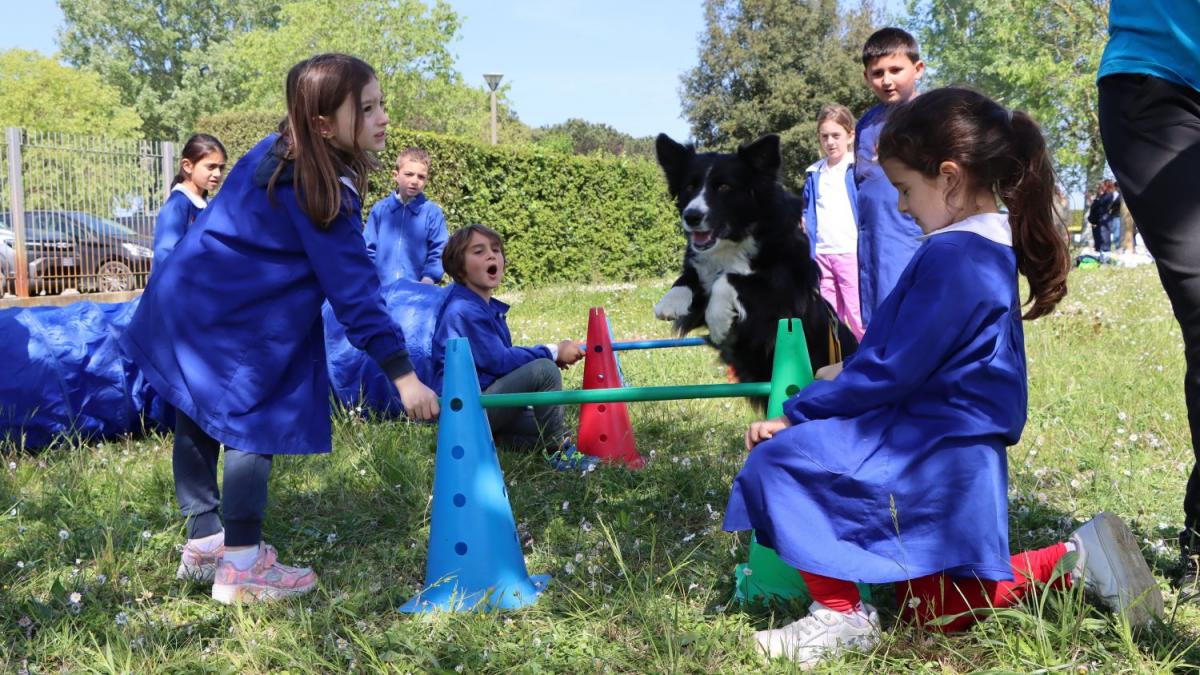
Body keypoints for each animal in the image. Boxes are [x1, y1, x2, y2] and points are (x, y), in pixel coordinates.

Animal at [652, 133, 857, 401]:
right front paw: (670, 302)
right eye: (689, 187)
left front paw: (718, 321)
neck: (736, 239)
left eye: (724, 187)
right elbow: (692, 277)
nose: (691, 216)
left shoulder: (784, 291)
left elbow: (730, 279)